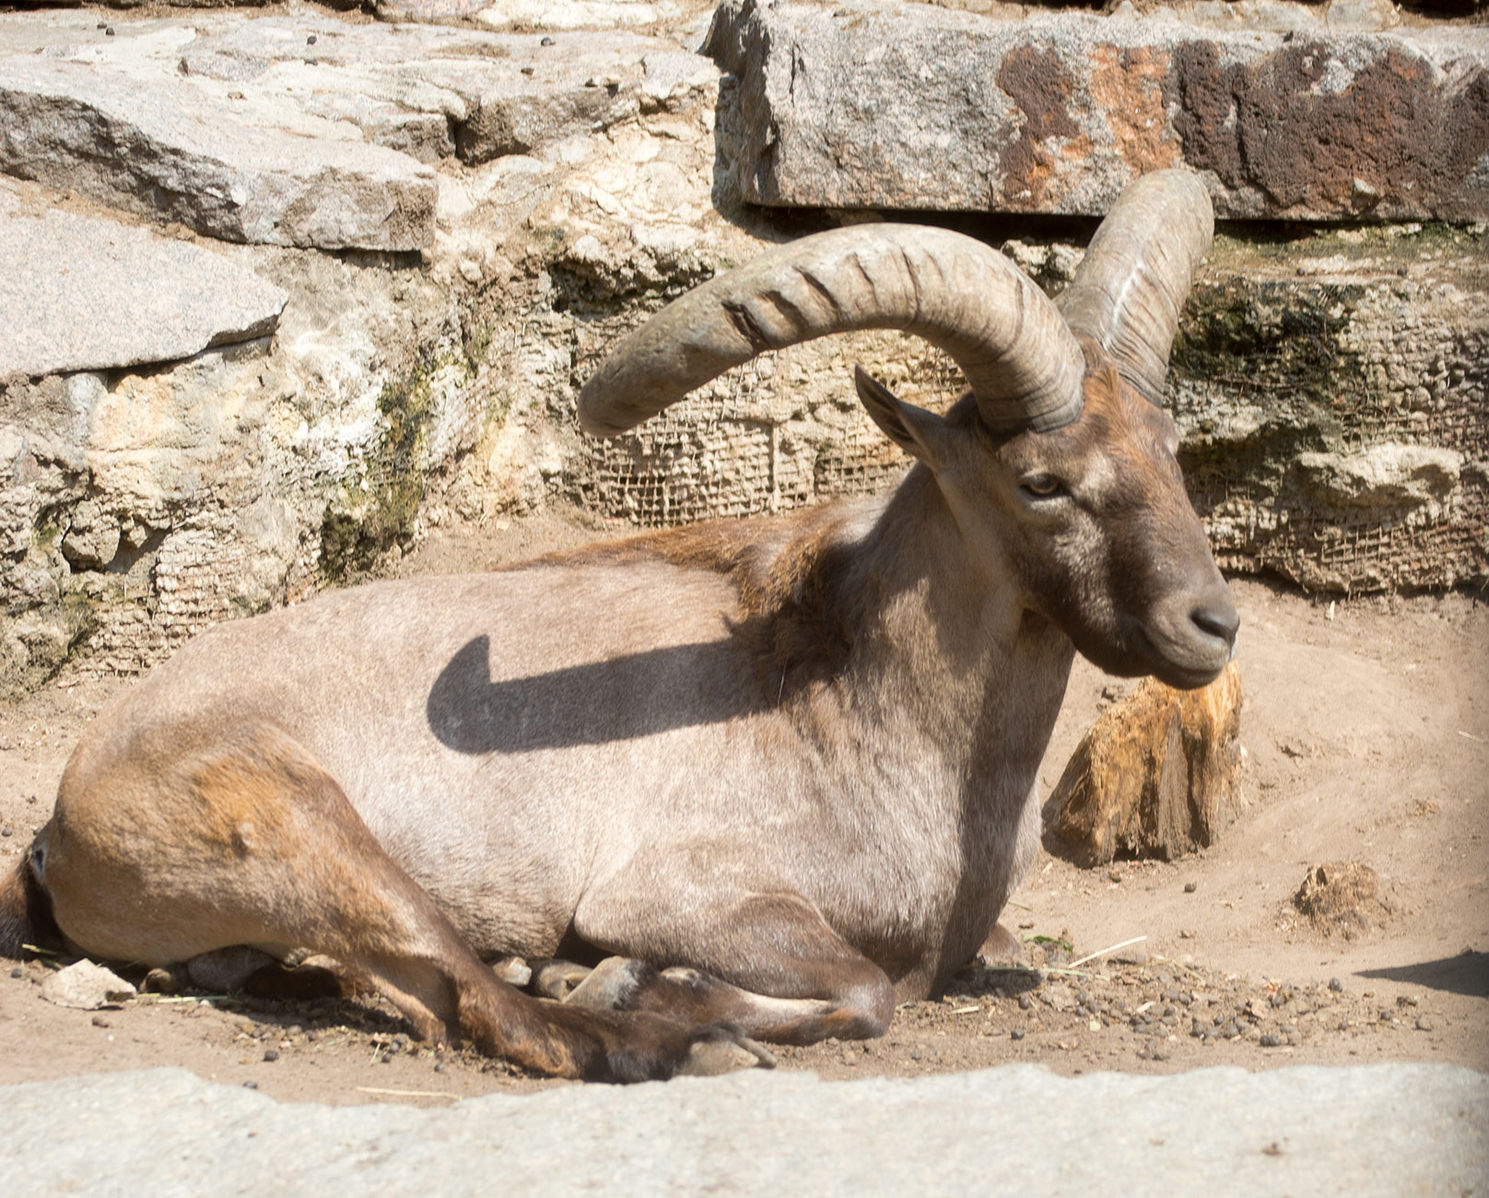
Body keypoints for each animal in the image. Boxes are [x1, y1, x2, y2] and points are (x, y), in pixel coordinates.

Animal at [0, 170, 1232, 1083]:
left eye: (1170, 449)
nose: (1209, 622)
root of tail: (65, 816)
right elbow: (867, 988)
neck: (862, 712)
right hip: (298, 820)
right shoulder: (684, 889)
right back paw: (646, 1031)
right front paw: (639, 982)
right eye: (1040, 482)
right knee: (481, 1005)